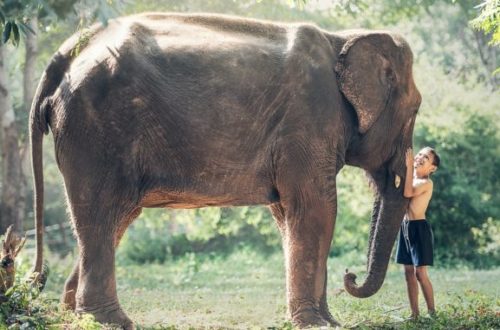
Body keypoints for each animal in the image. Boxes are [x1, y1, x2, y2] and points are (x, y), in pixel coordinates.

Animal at [29, 12, 422, 328]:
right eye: (416, 109)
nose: (350, 275)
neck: (341, 38)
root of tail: (67, 53)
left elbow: (288, 214)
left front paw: (324, 321)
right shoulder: (309, 120)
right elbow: (316, 209)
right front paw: (319, 324)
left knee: (117, 216)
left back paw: (75, 313)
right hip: (94, 129)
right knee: (101, 210)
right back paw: (110, 321)